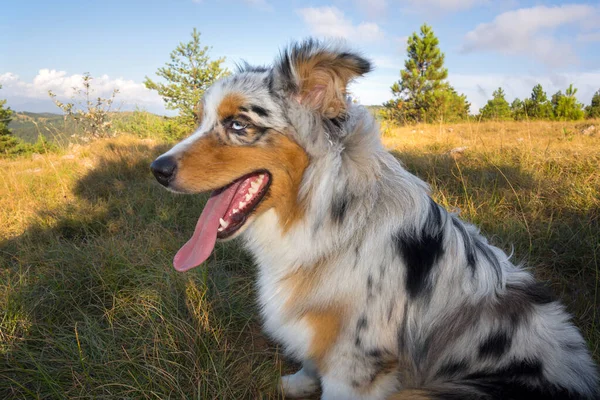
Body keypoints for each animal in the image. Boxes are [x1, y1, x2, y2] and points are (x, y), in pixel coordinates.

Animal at [150, 39, 596, 398]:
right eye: (201, 120)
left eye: (238, 124)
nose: (157, 169)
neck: (333, 216)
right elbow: (311, 357)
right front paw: (299, 381)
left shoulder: (356, 363)